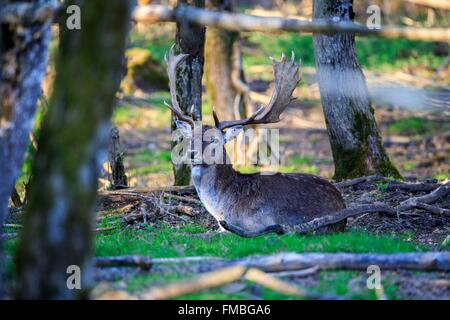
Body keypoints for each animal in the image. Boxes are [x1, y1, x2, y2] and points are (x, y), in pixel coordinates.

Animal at [163, 47, 346, 238]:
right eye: (191, 137)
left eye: (214, 139)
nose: (192, 154)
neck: (222, 208)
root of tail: (342, 203)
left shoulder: (254, 223)